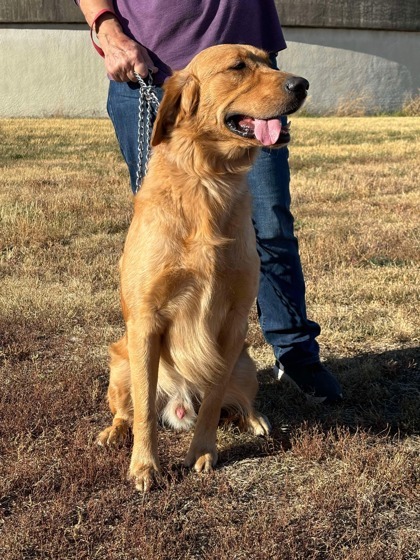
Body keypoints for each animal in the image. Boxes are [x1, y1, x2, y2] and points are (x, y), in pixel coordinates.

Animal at [97, 44, 308, 490]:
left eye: (269, 61)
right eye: (237, 67)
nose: (302, 84)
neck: (208, 181)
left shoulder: (232, 322)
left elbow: (212, 400)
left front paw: (202, 451)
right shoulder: (145, 322)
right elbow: (144, 411)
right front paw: (144, 466)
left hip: (244, 364)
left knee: (237, 402)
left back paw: (255, 420)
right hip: (120, 361)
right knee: (126, 410)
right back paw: (114, 431)